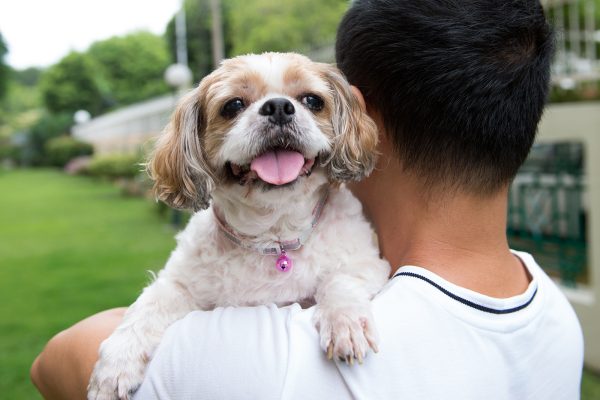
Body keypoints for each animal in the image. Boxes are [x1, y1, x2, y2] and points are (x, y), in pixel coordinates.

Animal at [86, 53, 392, 400]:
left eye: (313, 100)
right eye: (232, 105)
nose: (278, 107)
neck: (273, 234)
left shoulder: (368, 263)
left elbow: (340, 280)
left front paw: (346, 323)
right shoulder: (180, 283)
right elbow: (148, 306)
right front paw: (116, 364)